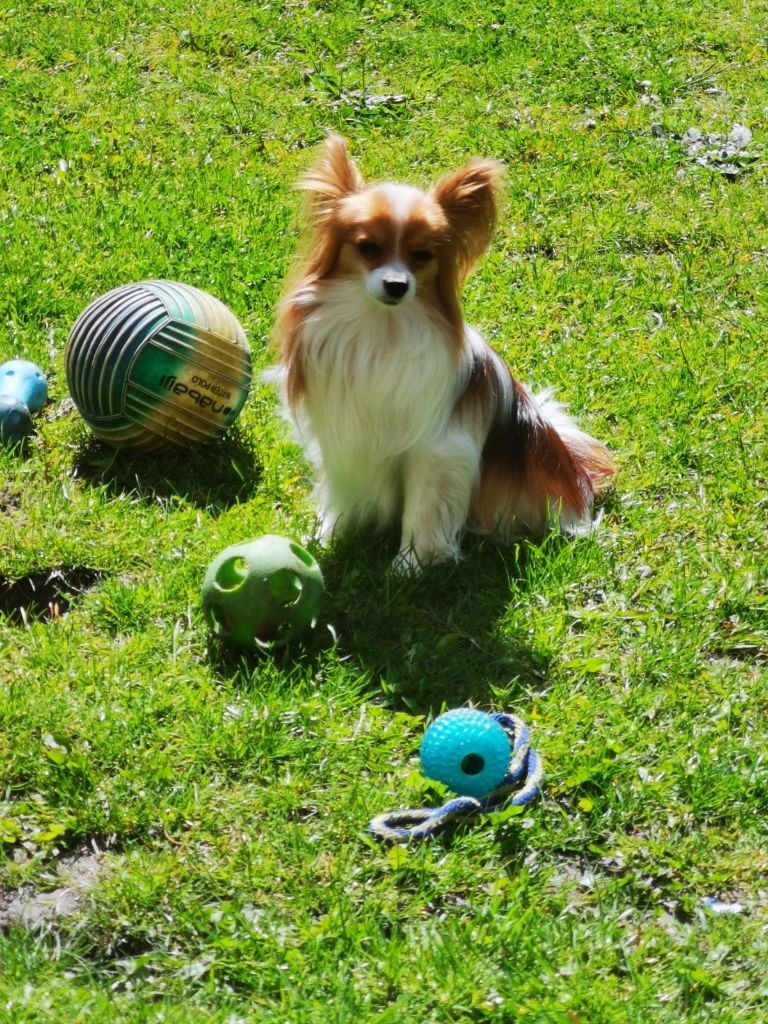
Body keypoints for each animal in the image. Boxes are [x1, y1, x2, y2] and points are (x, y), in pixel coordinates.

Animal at [268, 132, 614, 573]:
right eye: (368, 248)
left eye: (422, 255)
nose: (397, 285)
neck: (382, 328)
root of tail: (575, 468)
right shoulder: (342, 436)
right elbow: (340, 495)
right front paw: (325, 538)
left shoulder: (435, 451)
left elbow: (422, 512)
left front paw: (409, 566)